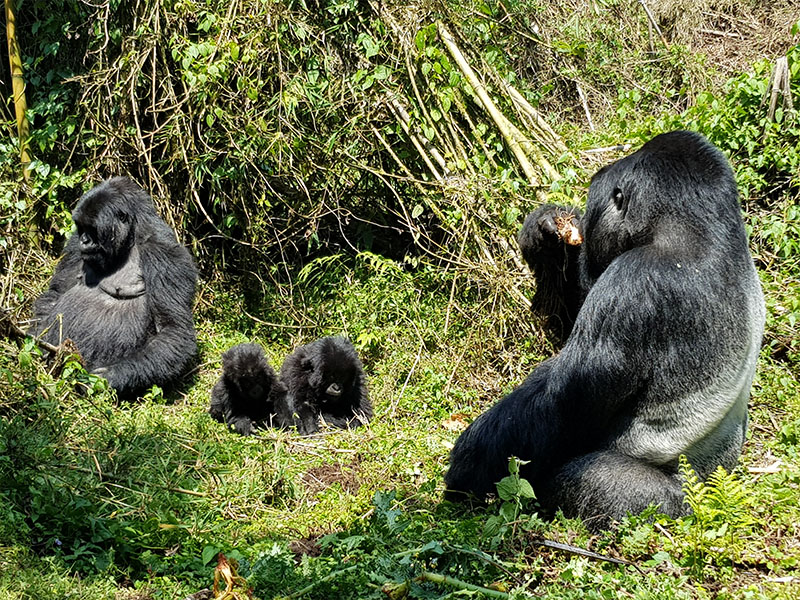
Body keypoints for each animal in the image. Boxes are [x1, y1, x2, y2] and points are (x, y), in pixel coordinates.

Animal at [32, 176, 198, 396]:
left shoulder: (166, 256)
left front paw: (105, 378)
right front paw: (34, 339)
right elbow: (57, 292)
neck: (131, 238)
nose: (84, 241)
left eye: (93, 229)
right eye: (81, 227)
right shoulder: (74, 243)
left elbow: (173, 328)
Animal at [446, 130, 764, 524]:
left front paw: (468, 464)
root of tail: (711, 494)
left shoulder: (634, 282)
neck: (704, 227)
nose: (584, 224)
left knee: (586, 479)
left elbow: (561, 407)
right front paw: (546, 238)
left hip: (672, 504)